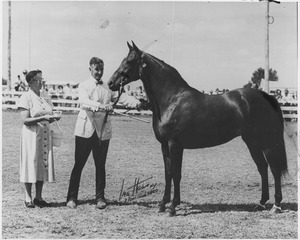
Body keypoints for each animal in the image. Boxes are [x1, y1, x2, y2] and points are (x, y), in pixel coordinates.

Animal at [108, 41, 288, 218]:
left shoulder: (175, 144)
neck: (172, 99)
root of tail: (266, 96)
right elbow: (168, 174)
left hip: (267, 142)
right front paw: (163, 204)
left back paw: (276, 205)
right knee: (262, 167)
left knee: (274, 169)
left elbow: (176, 173)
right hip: (251, 141)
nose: (111, 83)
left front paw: (172, 207)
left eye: (129, 61)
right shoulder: (164, 145)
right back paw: (261, 203)